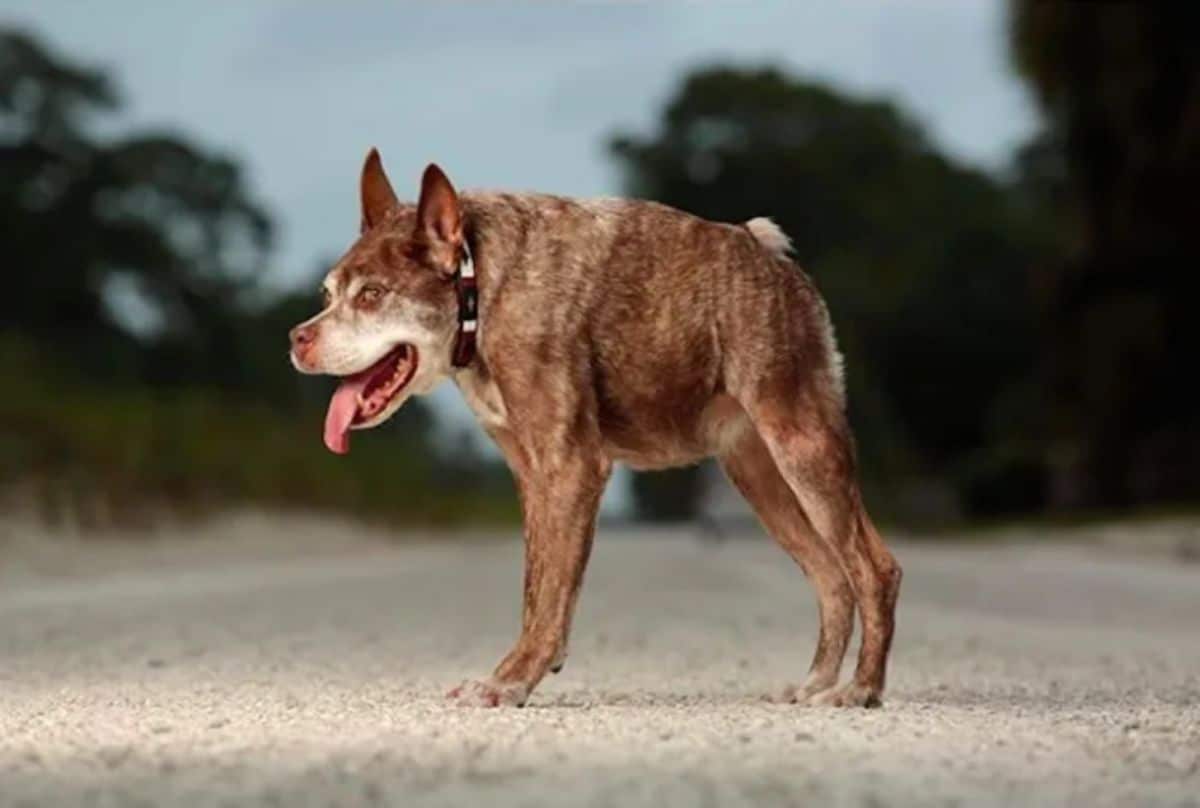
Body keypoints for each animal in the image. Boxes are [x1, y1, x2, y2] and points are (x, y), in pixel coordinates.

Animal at [288, 149, 902, 705]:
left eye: (372, 296)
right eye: (327, 295)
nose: (297, 338)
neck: (478, 284)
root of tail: (773, 258)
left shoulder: (571, 466)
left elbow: (552, 588)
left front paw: (510, 681)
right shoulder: (533, 474)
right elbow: (539, 586)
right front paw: (525, 670)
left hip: (800, 447)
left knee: (874, 569)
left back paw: (860, 690)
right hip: (761, 476)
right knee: (832, 578)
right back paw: (817, 682)